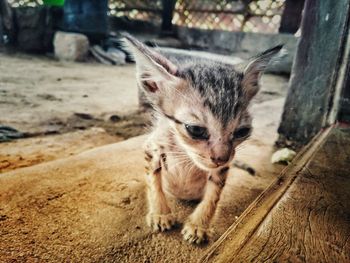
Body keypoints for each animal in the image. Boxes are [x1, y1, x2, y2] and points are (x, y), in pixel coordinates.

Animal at [124, 35, 280, 245]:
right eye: (196, 130)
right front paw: (160, 213)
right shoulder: (152, 147)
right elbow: (153, 180)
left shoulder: (222, 169)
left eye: (242, 131)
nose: (221, 158)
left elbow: (214, 195)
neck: (182, 151)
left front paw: (199, 225)